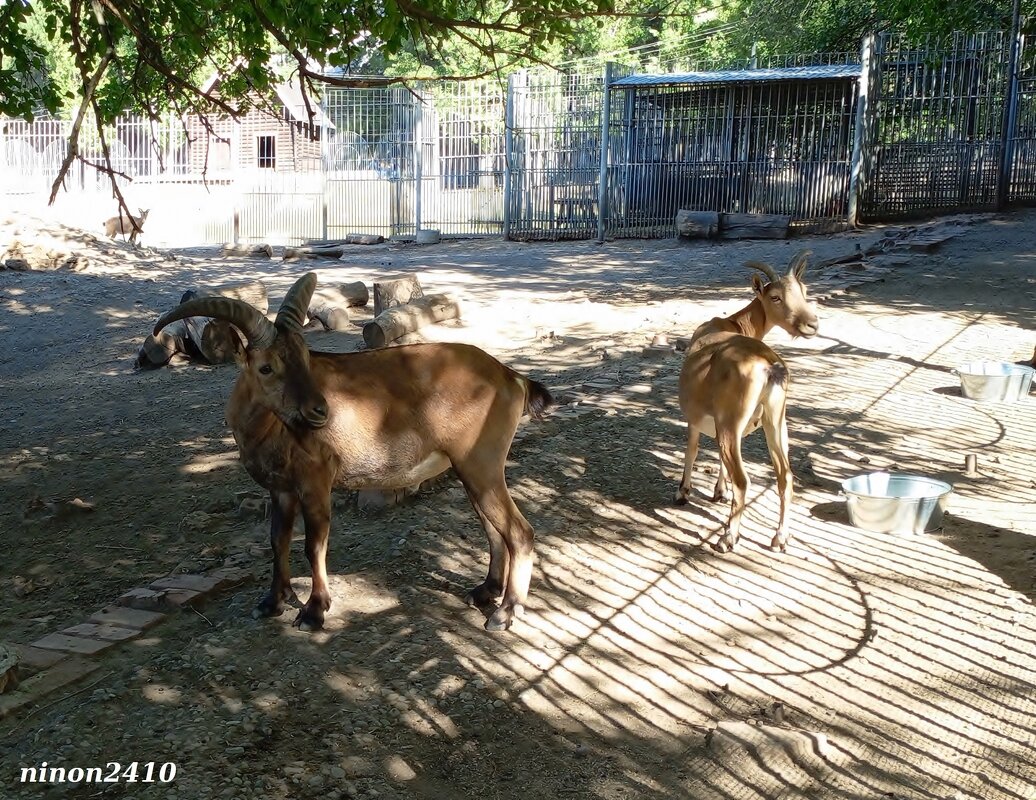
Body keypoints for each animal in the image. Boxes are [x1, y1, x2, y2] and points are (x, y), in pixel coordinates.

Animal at [151, 271, 551, 634]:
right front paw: (271, 602)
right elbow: (278, 540)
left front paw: (314, 611)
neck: (269, 429)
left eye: (305, 358)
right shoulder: (280, 489)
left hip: (481, 463)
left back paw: (505, 613)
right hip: (470, 469)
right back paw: (485, 592)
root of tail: (510, 377)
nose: (319, 411)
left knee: (520, 532)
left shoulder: (315, 481)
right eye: (266, 367)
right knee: (494, 530)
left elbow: (314, 545)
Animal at [675, 252, 820, 551]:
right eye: (775, 296)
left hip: (734, 423)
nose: (812, 324)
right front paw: (719, 491)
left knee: (744, 480)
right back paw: (780, 537)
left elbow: (692, 450)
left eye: (804, 291)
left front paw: (683, 493)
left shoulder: (698, 418)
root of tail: (769, 366)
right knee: (785, 476)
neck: (731, 323)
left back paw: (728, 538)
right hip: (776, 421)